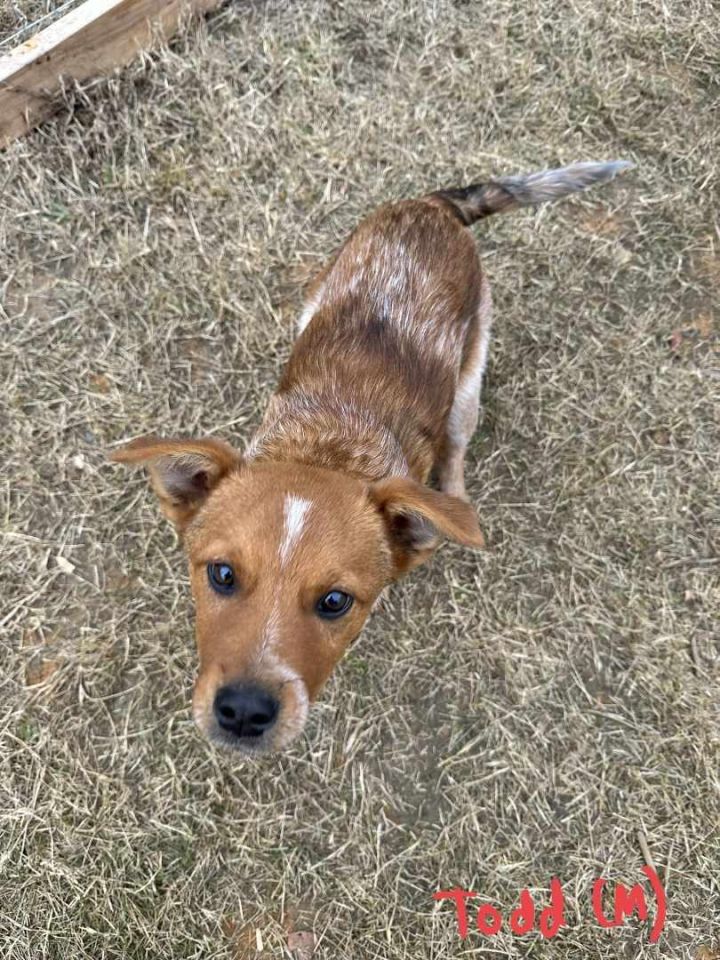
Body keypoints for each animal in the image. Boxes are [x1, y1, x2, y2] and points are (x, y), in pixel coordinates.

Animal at [111, 161, 632, 752]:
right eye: (221, 574)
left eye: (335, 602)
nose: (243, 712)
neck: (327, 450)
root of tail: (433, 206)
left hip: (470, 372)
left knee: (457, 446)